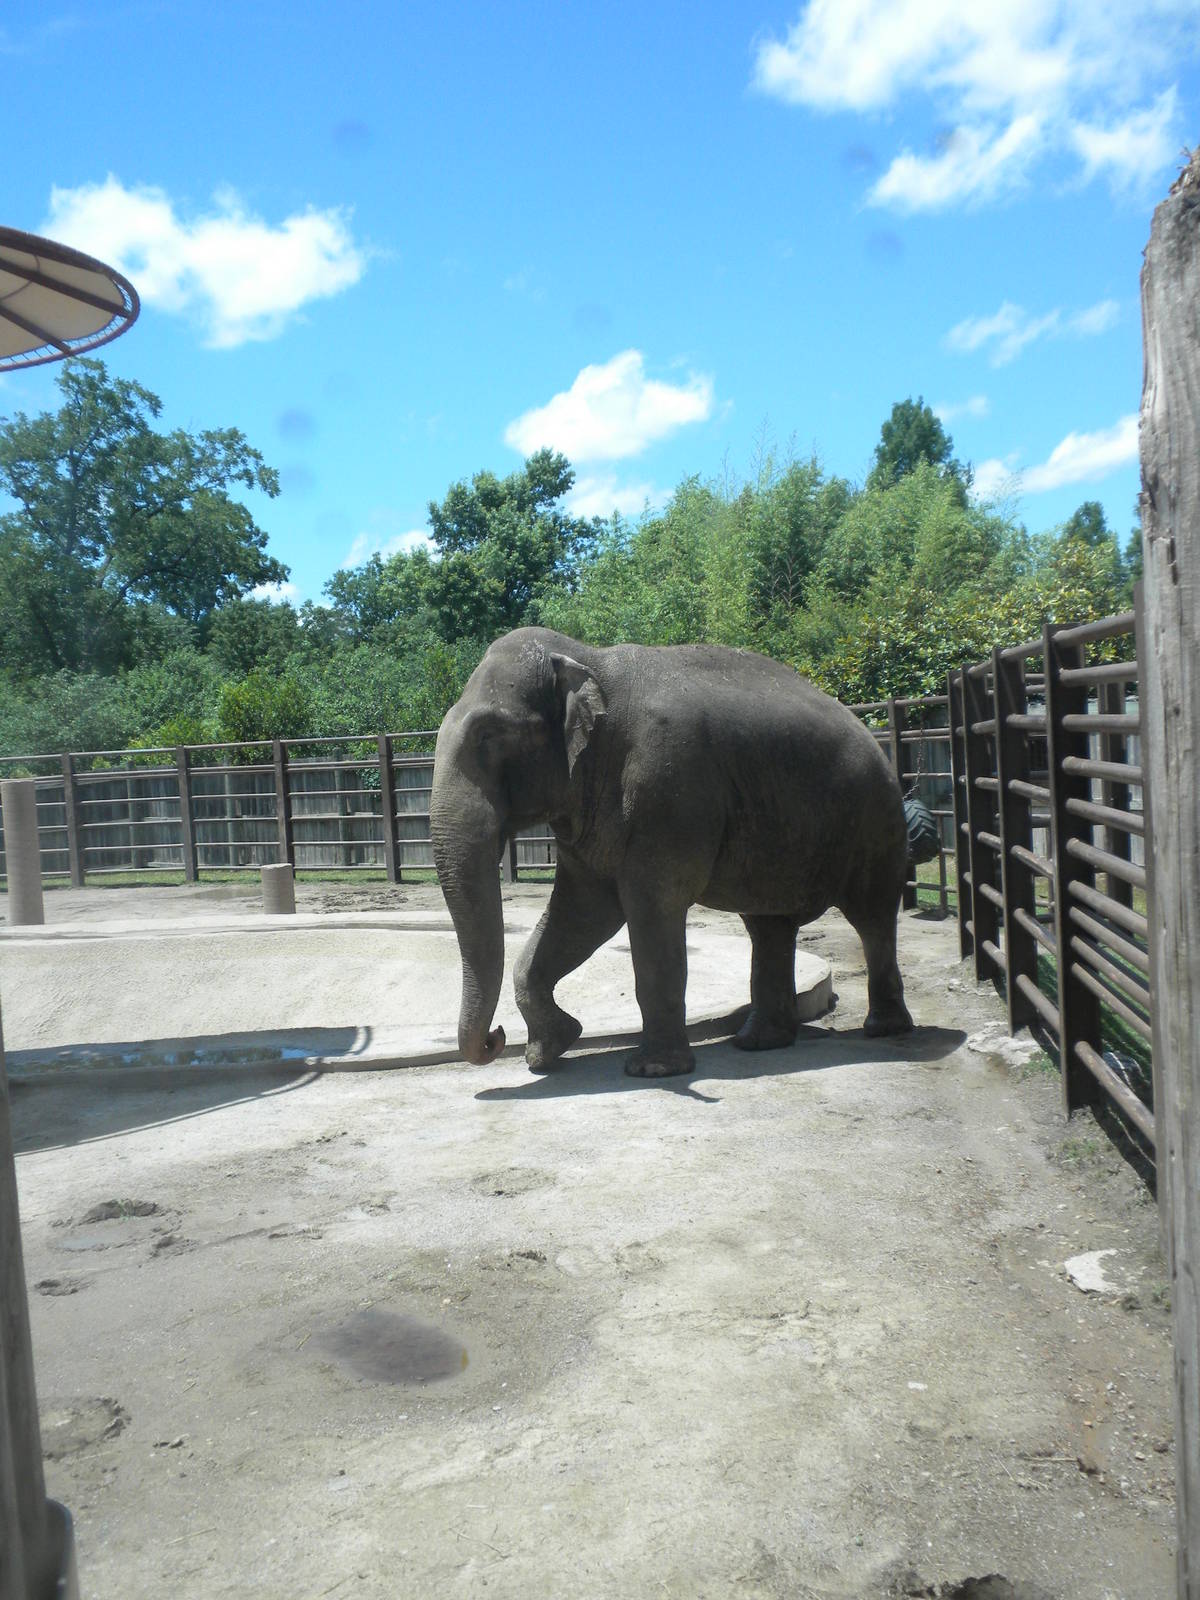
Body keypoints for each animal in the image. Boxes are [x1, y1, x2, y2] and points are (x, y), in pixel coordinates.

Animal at [430, 627, 913, 1078]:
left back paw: (883, 1030)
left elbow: (649, 906)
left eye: (488, 735)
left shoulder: (668, 786)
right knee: (769, 927)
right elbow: (583, 910)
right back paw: (758, 1042)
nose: (495, 1038)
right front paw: (549, 1052)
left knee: (871, 917)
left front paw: (653, 1070)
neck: (588, 659)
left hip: (876, 820)